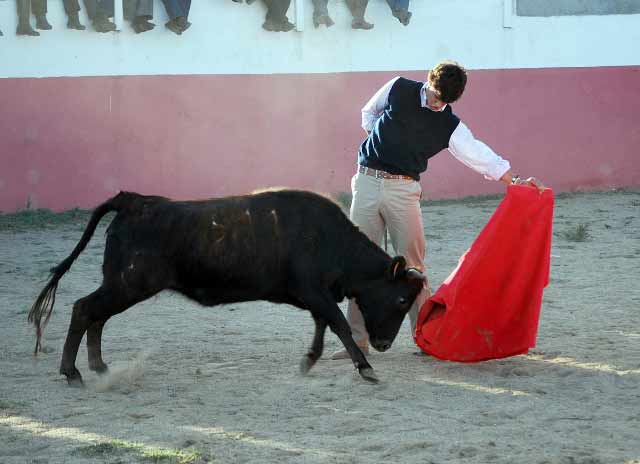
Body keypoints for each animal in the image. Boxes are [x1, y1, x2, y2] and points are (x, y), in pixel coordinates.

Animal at [30, 188, 428, 384]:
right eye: (402, 298)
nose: (383, 343)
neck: (333, 241)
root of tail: (133, 202)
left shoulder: (314, 295)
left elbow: (322, 325)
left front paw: (308, 361)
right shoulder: (315, 292)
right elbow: (340, 324)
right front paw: (366, 368)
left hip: (120, 283)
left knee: (96, 316)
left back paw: (99, 367)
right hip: (129, 283)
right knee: (85, 309)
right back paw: (73, 372)